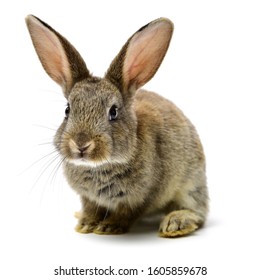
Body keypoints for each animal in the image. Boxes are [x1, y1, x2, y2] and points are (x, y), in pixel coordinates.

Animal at [25, 14, 209, 237]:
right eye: (67, 110)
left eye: (113, 112)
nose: (81, 144)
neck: (99, 166)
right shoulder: (88, 198)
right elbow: (91, 208)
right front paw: (86, 224)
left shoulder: (141, 197)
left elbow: (126, 213)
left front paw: (108, 227)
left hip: (191, 184)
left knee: (198, 211)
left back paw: (176, 223)